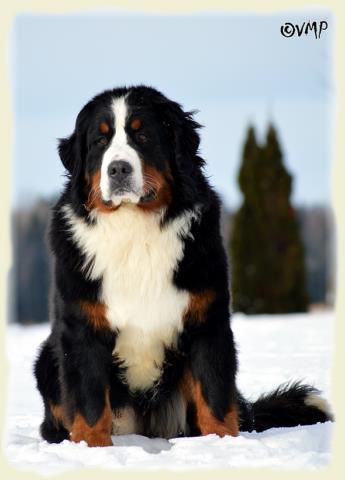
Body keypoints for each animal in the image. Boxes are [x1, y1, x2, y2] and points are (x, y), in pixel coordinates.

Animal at [34, 85, 330, 446]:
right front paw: (95, 449)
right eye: (99, 141)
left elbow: (214, 397)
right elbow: (90, 407)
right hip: (46, 359)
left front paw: (221, 445)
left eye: (143, 135)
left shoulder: (207, 321)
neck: (135, 231)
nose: (118, 169)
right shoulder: (82, 328)